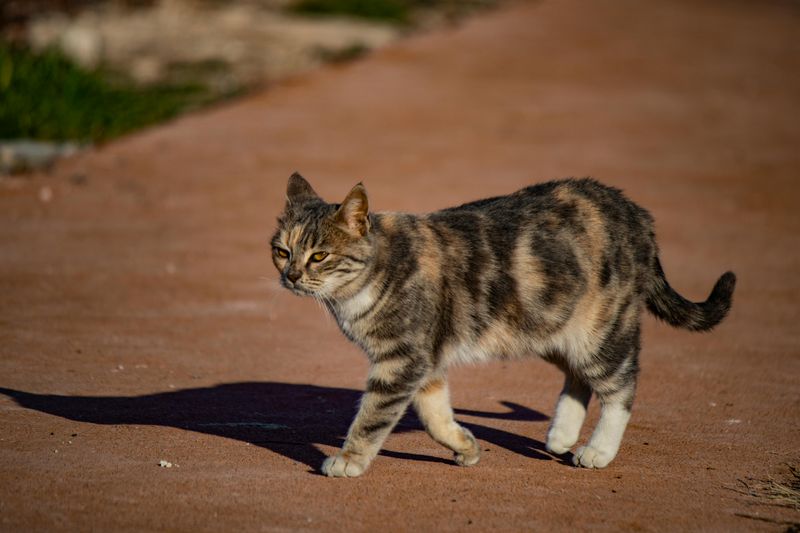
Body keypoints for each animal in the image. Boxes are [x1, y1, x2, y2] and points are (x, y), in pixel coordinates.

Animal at [272, 172, 736, 476]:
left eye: (319, 256)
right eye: (281, 251)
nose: (290, 276)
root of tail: (635, 211)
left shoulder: (402, 360)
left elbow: (371, 417)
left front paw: (349, 460)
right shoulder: (425, 363)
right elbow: (435, 415)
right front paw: (464, 446)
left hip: (598, 331)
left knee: (621, 386)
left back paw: (598, 450)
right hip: (550, 325)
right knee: (578, 379)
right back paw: (561, 435)